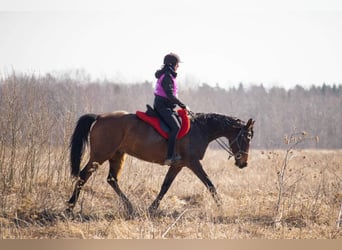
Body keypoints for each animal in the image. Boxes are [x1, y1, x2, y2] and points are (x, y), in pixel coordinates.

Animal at [66, 110, 254, 214]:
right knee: (83, 175)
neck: (201, 128)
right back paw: (70, 206)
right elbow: (210, 184)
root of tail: (99, 117)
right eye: (247, 137)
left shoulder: (178, 165)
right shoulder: (193, 163)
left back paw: (130, 206)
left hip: (117, 155)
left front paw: (152, 208)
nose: (243, 163)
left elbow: (165, 186)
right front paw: (222, 207)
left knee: (112, 179)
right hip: (100, 156)